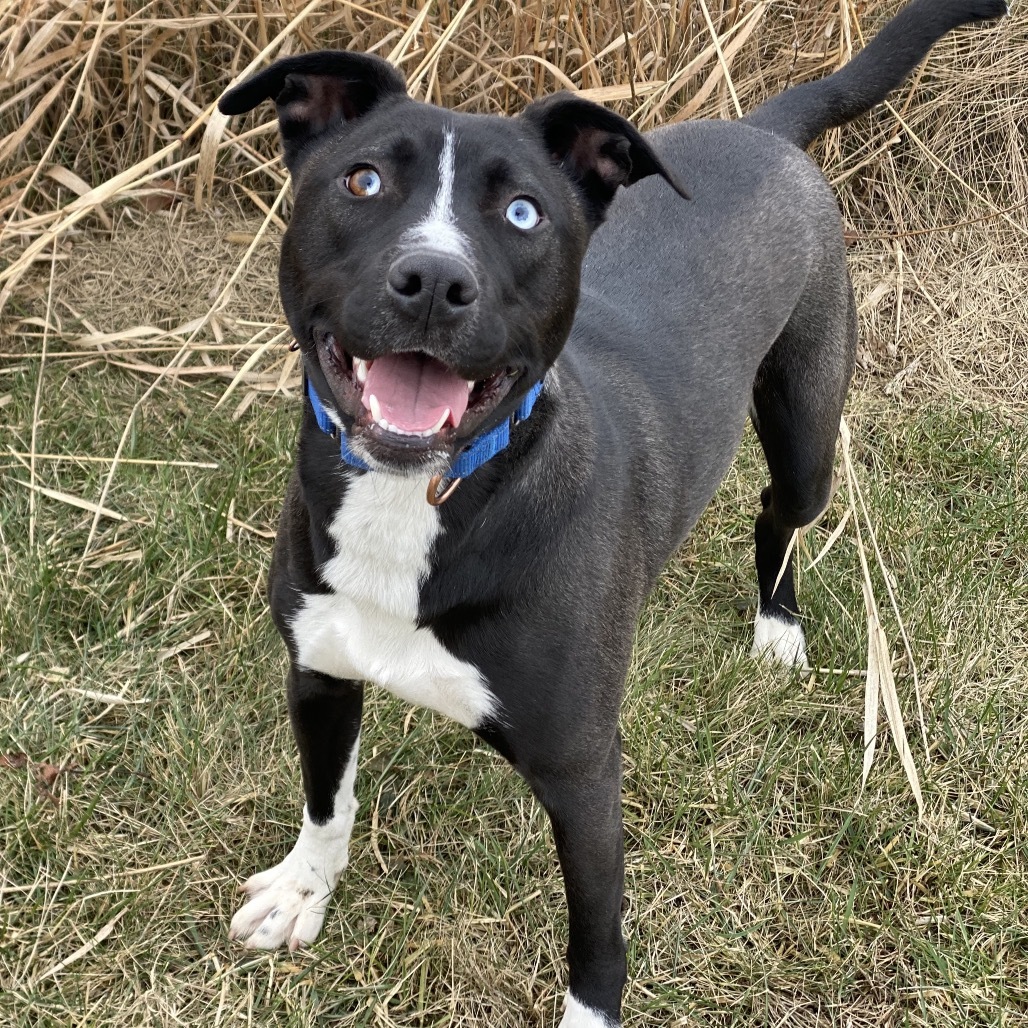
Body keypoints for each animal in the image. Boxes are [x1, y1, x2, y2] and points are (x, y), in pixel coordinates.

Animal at [216, 4, 1003, 1023]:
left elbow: (596, 933)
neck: (425, 497)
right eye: (363, 179)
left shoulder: (583, 771)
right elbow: (326, 801)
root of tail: (761, 126)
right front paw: (302, 891)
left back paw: (778, 628)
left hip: (807, 432)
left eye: (523, 213)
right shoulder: (318, 671)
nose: (432, 282)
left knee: (777, 509)